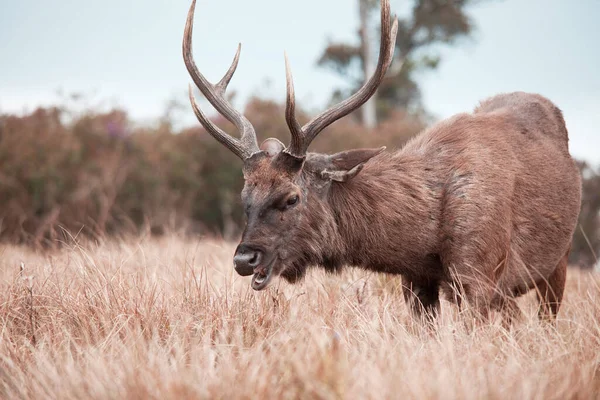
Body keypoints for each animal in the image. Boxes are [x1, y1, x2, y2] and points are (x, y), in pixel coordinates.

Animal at [183, 0, 580, 322]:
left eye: (291, 197)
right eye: (244, 198)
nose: (244, 260)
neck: (423, 240)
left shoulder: (480, 276)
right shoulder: (417, 281)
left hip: (557, 262)